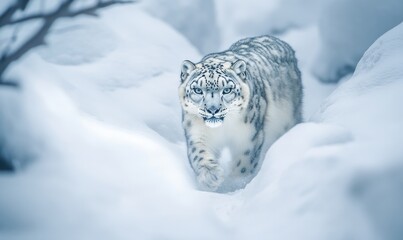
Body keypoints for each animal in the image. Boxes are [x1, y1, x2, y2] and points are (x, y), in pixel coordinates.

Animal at [178, 35, 302, 191]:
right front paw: (211, 176)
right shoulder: (197, 131)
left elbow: (244, 162)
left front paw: (234, 184)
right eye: (198, 90)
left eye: (227, 90)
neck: (224, 128)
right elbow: (198, 153)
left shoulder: (249, 137)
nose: (212, 109)